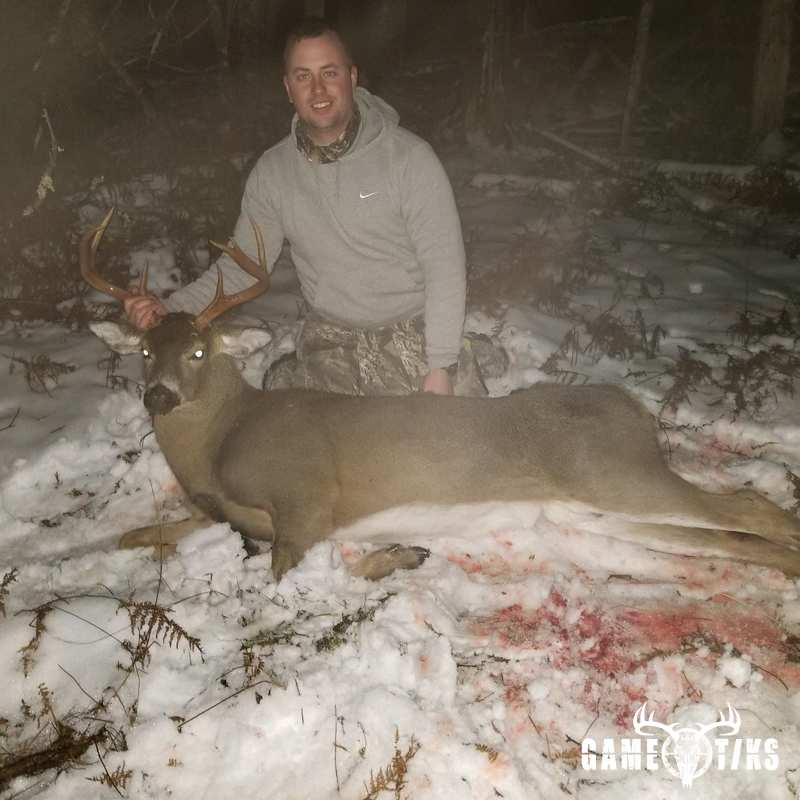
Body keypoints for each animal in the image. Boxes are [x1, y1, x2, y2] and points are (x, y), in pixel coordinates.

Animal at [83, 210, 800, 581]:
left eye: (200, 353)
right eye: (144, 353)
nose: (158, 397)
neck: (221, 442)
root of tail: (633, 409)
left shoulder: (307, 495)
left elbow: (290, 576)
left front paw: (397, 555)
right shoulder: (234, 513)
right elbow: (140, 535)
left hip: (611, 472)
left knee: (755, 505)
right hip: (590, 507)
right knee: (732, 535)